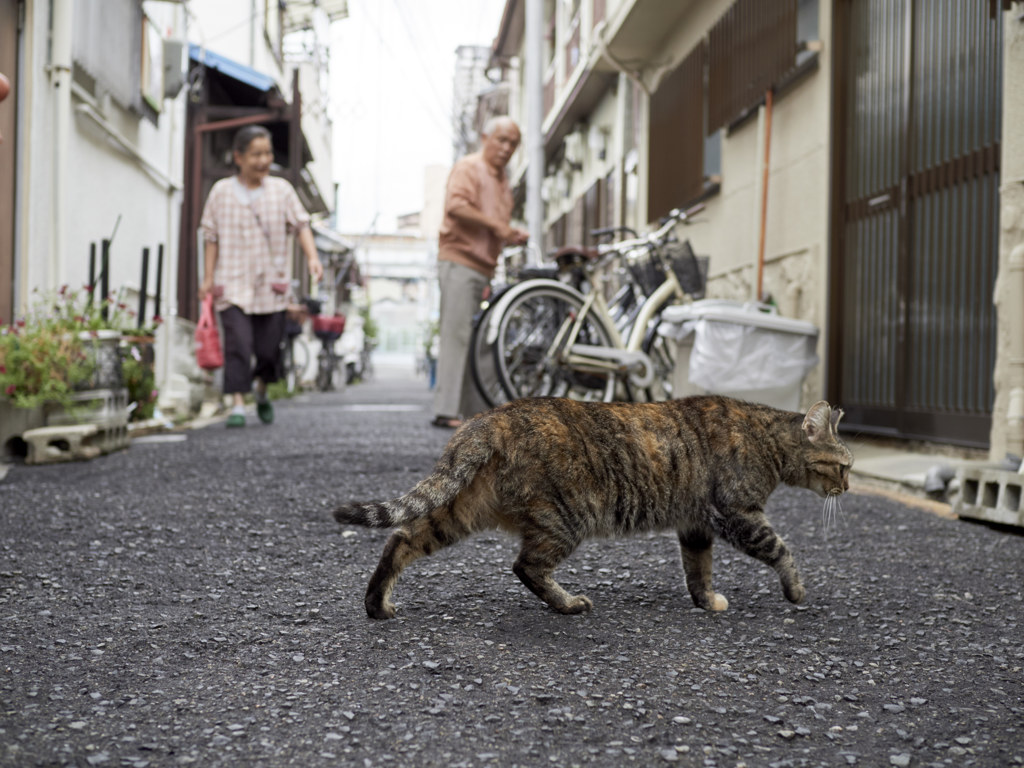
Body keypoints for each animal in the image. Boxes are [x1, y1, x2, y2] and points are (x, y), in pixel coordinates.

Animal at [331, 397, 851, 618]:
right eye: (845, 465)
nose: (848, 486)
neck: (768, 439)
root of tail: (490, 418)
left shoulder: (696, 524)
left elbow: (698, 570)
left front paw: (705, 601)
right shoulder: (736, 513)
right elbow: (781, 549)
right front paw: (796, 591)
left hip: (461, 511)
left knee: (401, 538)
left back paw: (377, 604)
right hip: (564, 518)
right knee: (525, 566)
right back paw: (568, 604)